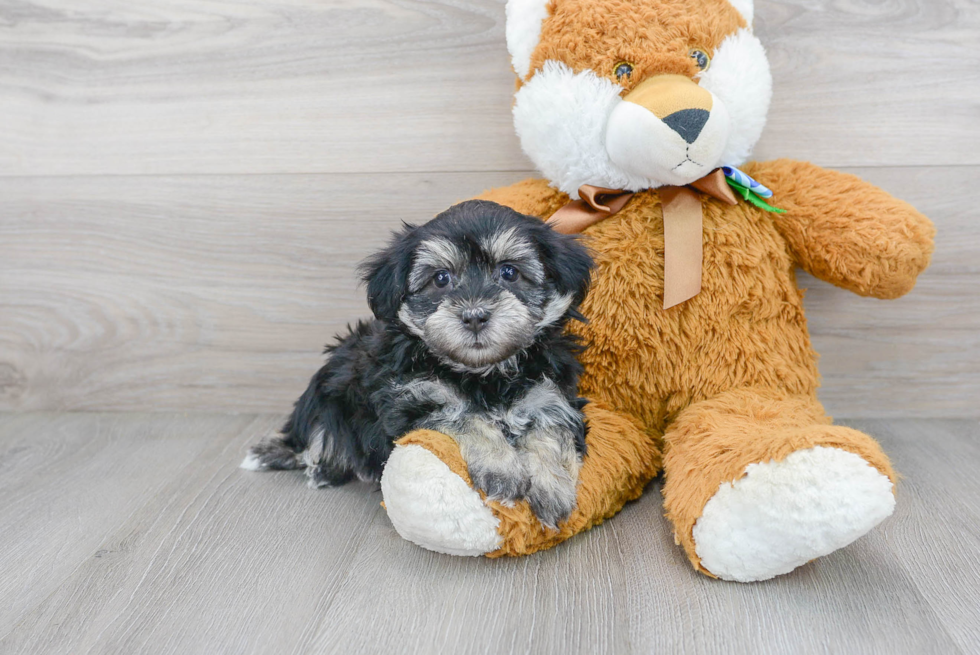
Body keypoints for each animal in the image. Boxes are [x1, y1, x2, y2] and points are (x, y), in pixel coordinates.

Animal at [243, 199, 596, 528]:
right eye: (440, 279)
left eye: (509, 272)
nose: (474, 316)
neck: (483, 374)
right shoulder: (416, 401)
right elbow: (467, 417)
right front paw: (502, 469)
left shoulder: (551, 397)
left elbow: (551, 434)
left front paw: (552, 487)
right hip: (328, 396)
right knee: (318, 439)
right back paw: (322, 468)